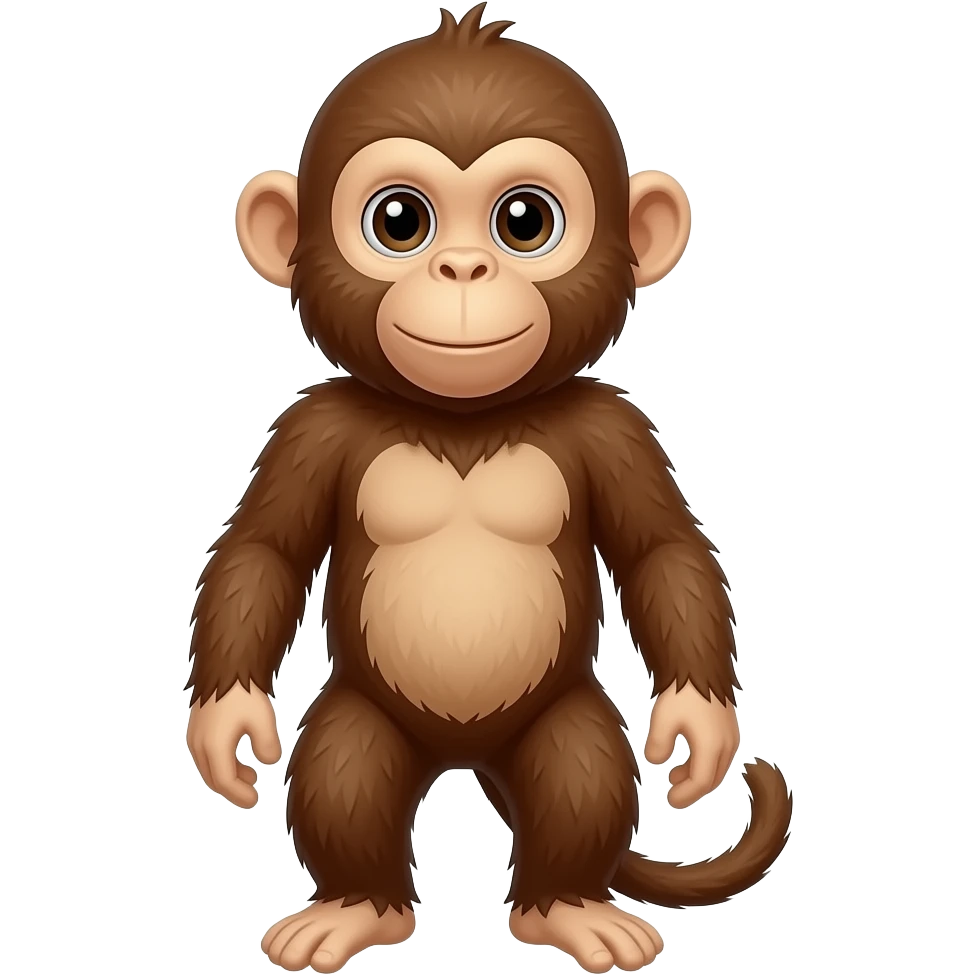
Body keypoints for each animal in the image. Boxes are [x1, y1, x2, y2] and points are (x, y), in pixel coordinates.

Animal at [186, 5, 792, 973]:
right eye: (399, 220)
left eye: (524, 220)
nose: (463, 269)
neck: (463, 419)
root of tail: (467, 756)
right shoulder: (310, 428)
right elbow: (263, 550)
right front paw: (226, 723)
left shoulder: (614, 427)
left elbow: (662, 550)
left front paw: (699, 728)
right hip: (367, 721)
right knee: (344, 771)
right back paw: (357, 907)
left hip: (555, 721)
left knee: (579, 768)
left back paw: (567, 906)